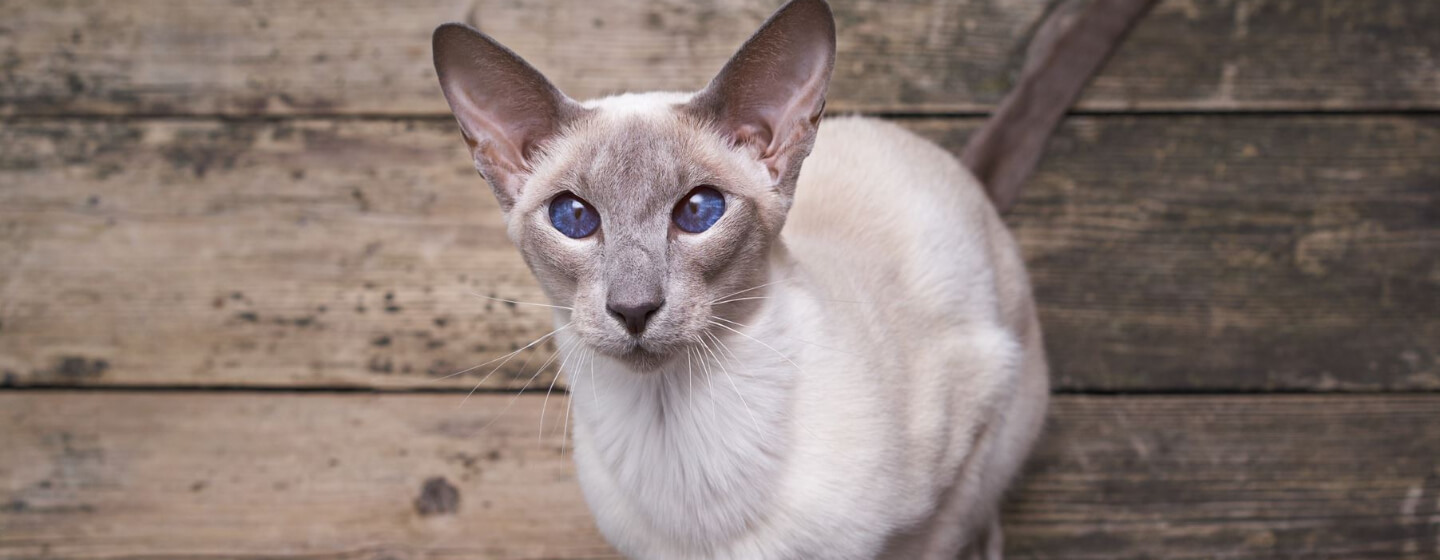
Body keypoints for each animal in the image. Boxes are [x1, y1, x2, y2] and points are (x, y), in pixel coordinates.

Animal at [426, 0, 1134, 552]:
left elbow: (941, 532)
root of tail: (962, 169)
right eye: (574, 217)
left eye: (699, 211)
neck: (675, 431)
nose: (634, 308)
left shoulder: (967, 436)